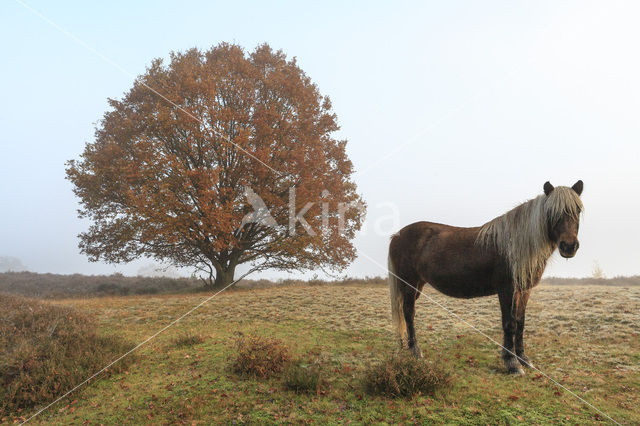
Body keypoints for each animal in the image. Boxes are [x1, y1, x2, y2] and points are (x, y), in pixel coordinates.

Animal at [388, 181, 584, 374]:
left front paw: (524, 359)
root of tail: (397, 236)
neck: (515, 244)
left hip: (418, 285)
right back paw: (416, 352)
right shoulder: (507, 290)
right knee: (409, 313)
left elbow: (520, 322)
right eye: (552, 212)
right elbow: (509, 324)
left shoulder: (524, 290)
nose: (569, 246)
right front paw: (512, 363)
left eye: (578, 210)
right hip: (409, 284)